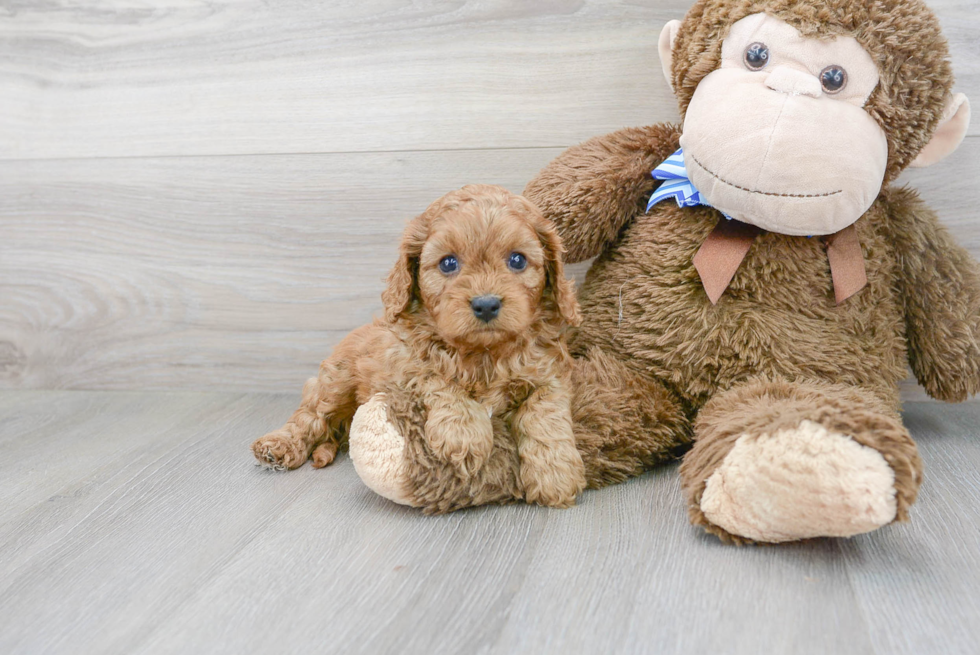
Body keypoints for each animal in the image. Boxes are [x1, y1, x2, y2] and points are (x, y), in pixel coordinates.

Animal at [255, 183, 588, 508]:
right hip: (335, 381)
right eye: (448, 263)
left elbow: (545, 413)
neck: (483, 353)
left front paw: (555, 474)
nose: (486, 305)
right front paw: (464, 433)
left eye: (517, 260)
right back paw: (278, 446)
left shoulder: (550, 373)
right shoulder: (408, 363)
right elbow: (438, 379)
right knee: (310, 417)